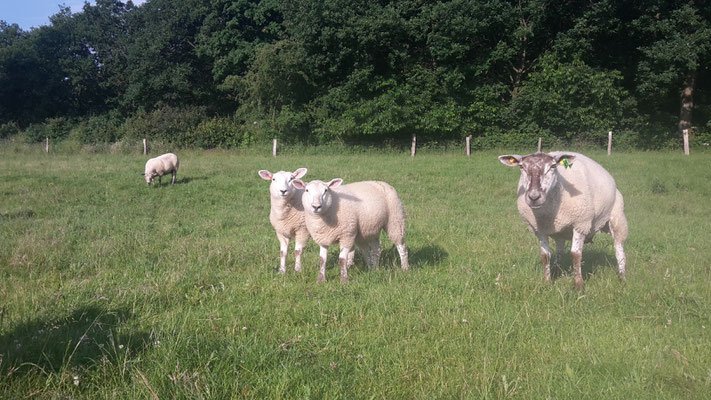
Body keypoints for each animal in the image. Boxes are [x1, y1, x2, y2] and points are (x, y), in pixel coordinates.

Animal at [500, 152, 628, 290]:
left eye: (553, 166)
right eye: (521, 167)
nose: (534, 197)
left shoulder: (580, 224)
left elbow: (575, 255)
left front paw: (578, 285)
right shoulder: (539, 229)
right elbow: (545, 256)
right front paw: (547, 281)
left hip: (617, 218)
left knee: (619, 250)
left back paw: (622, 277)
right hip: (559, 231)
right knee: (560, 250)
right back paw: (556, 269)